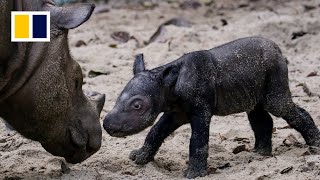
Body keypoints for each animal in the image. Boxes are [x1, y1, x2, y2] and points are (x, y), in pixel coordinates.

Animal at [103, 37, 320, 179]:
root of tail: (279, 49)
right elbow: (156, 131)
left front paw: (193, 174)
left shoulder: (200, 110)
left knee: (279, 106)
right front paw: (140, 158)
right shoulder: (175, 111)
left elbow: (198, 140)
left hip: (275, 70)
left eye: (137, 105)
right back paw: (259, 154)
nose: (107, 125)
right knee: (257, 113)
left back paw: (315, 146)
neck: (167, 85)